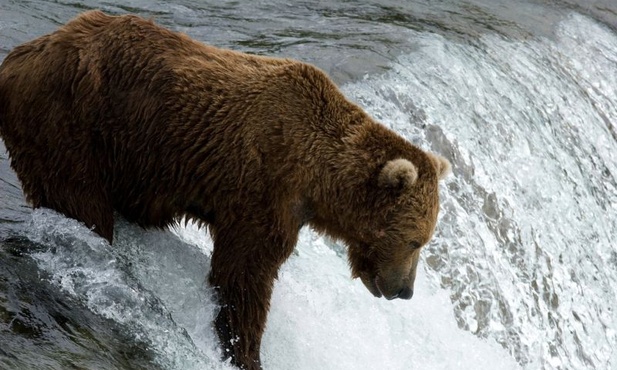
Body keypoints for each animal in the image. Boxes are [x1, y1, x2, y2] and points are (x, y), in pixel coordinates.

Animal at [0, 10, 452, 370]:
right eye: (416, 240)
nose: (405, 290)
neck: (317, 175)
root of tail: (21, 55)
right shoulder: (262, 190)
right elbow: (244, 276)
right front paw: (245, 351)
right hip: (69, 123)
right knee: (79, 202)